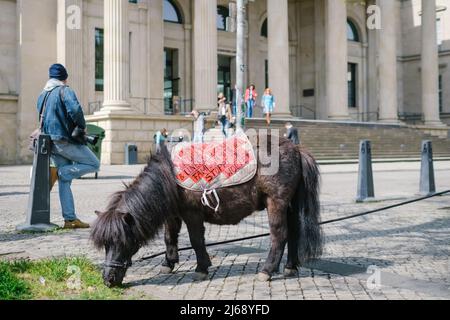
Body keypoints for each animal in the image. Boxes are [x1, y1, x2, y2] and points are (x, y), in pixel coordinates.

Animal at [91, 136, 322, 286]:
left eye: (122, 241)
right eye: (105, 244)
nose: (108, 280)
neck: (168, 175)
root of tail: (297, 150)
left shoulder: (192, 214)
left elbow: (196, 241)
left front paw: (201, 268)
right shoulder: (173, 215)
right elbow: (169, 238)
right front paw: (168, 263)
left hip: (276, 203)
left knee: (279, 235)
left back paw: (267, 270)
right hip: (290, 205)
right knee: (293, 233)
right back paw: (290, 267)